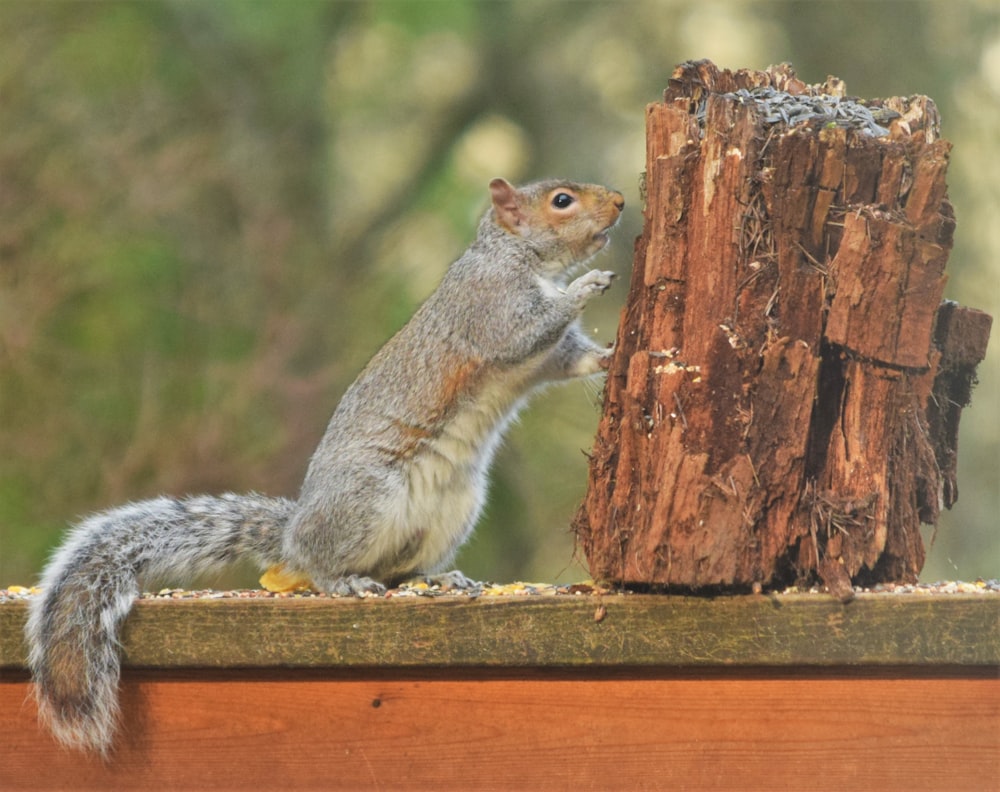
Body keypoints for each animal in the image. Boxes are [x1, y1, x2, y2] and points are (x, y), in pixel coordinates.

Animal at [25, 173, 624, 756]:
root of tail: (294, 532)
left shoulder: (546, 356)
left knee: (396, 570)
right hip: (365, 499)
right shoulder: (491, 307)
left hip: (454, 508)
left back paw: (435, 577)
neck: (520, 257)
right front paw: (587, 286)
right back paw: (345, 582)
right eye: (562, 200)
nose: (620, 201)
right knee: (321, 564)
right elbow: (525, 333)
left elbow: (569, 360)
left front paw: (613, 353)